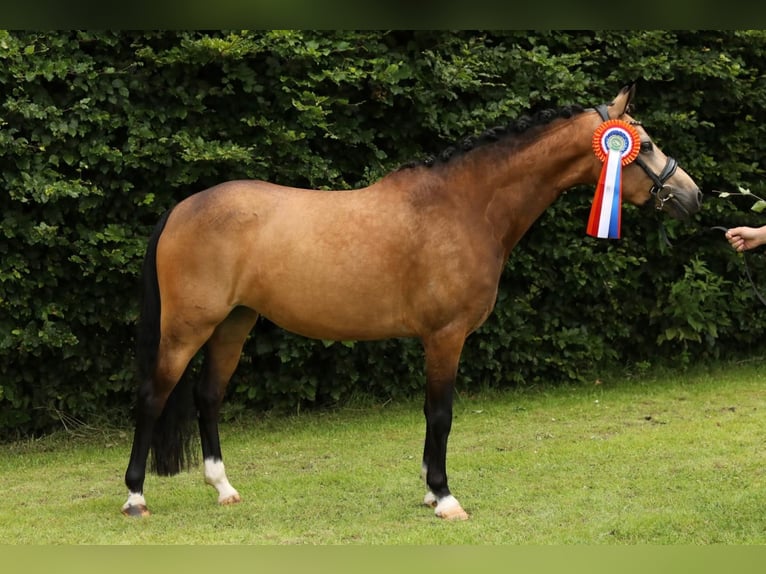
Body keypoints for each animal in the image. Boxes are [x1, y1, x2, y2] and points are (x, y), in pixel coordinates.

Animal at [123, 84, 704, 520]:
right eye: (646, 143)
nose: (693, 197)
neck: (463, 206)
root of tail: (182, 208)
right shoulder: (445, 336)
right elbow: (440, 412)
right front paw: (444, 497)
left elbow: (431, 414)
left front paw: (429, 489)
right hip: (187, 328)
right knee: (153, 396)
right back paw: (134, 497)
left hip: (233, 324)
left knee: (208, 396)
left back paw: (223, 488)